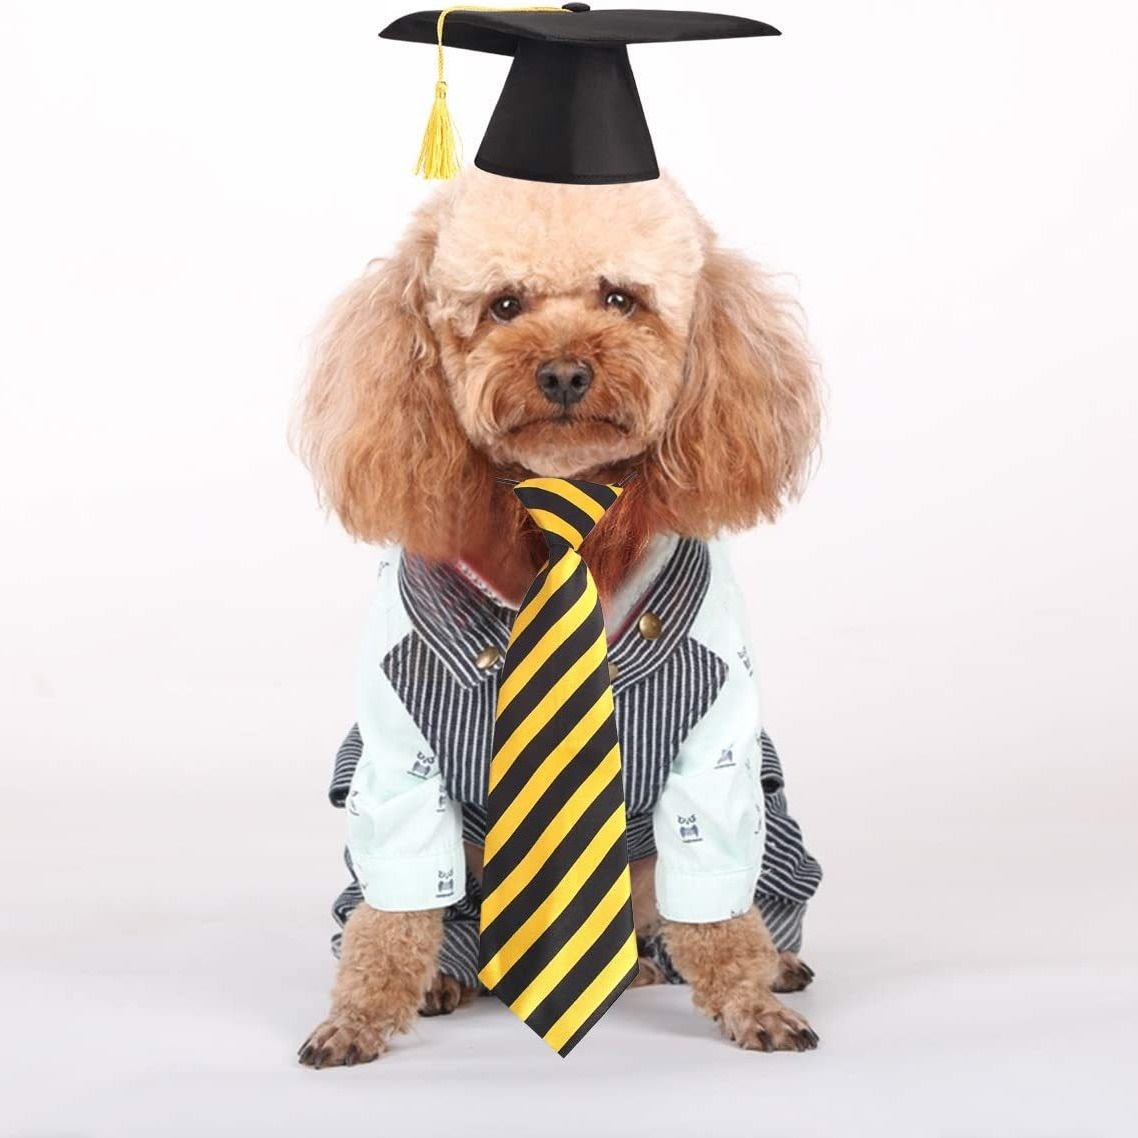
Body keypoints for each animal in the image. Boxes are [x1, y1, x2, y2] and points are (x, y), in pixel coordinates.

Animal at [296, 168, 821, 1066]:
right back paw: (450, 977)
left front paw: (751, 1001)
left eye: (621, 298)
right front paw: (358, 1016)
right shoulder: (401, 757)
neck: (564, 517)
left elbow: (718, 913)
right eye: (504, 305)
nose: (567, 372)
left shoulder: (713, 745)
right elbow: (391, 919)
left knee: (691, 913)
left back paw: (727, 963)